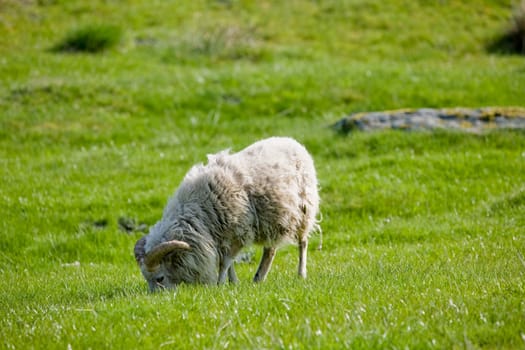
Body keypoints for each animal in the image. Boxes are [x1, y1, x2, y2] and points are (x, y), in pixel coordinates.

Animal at [133, 135, 320, 292]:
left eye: (160, 278)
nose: (157, 297)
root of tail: (292, 141)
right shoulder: (222, 236)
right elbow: (230, 264)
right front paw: (233, 282)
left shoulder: (238, 232)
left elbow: (225, 263)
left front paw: (220, 284)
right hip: (273, 219)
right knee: (270, 250)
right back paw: (259, 278)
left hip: (304, 210)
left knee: (303, 243)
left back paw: (301, 274)